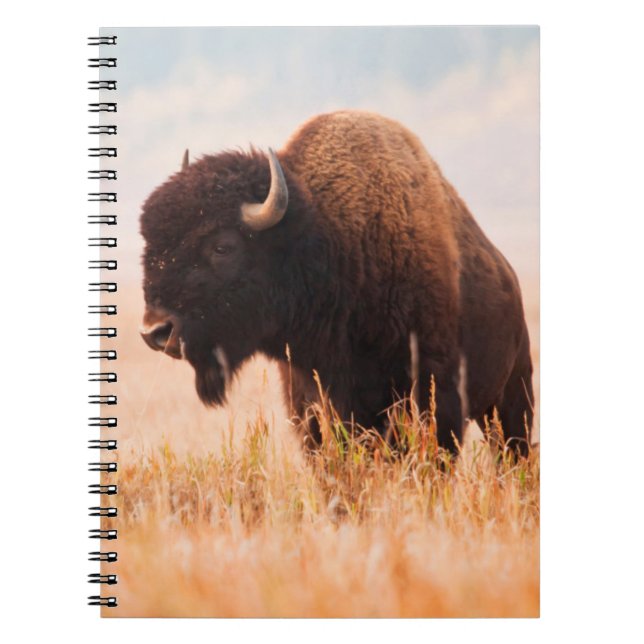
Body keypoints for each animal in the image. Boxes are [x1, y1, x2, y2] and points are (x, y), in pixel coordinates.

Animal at [140, 110, 534, 455]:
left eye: (222, 246)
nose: (155, 331)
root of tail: (510, 276)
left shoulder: (434, 396)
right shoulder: (310, 402)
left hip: (512, 396)